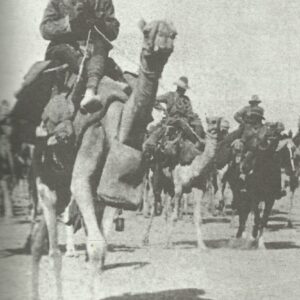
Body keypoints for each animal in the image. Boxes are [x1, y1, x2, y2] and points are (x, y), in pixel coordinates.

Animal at [30, 19, 177, 300]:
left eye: (174, 33)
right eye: (147, 32)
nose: (164, 38)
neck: (118, 122)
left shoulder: (110, 189)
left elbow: (102, 245)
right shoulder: (92, 137)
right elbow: (96, 243)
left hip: (59, 183)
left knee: (38, 243)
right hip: (44, 175)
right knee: (51, 243)